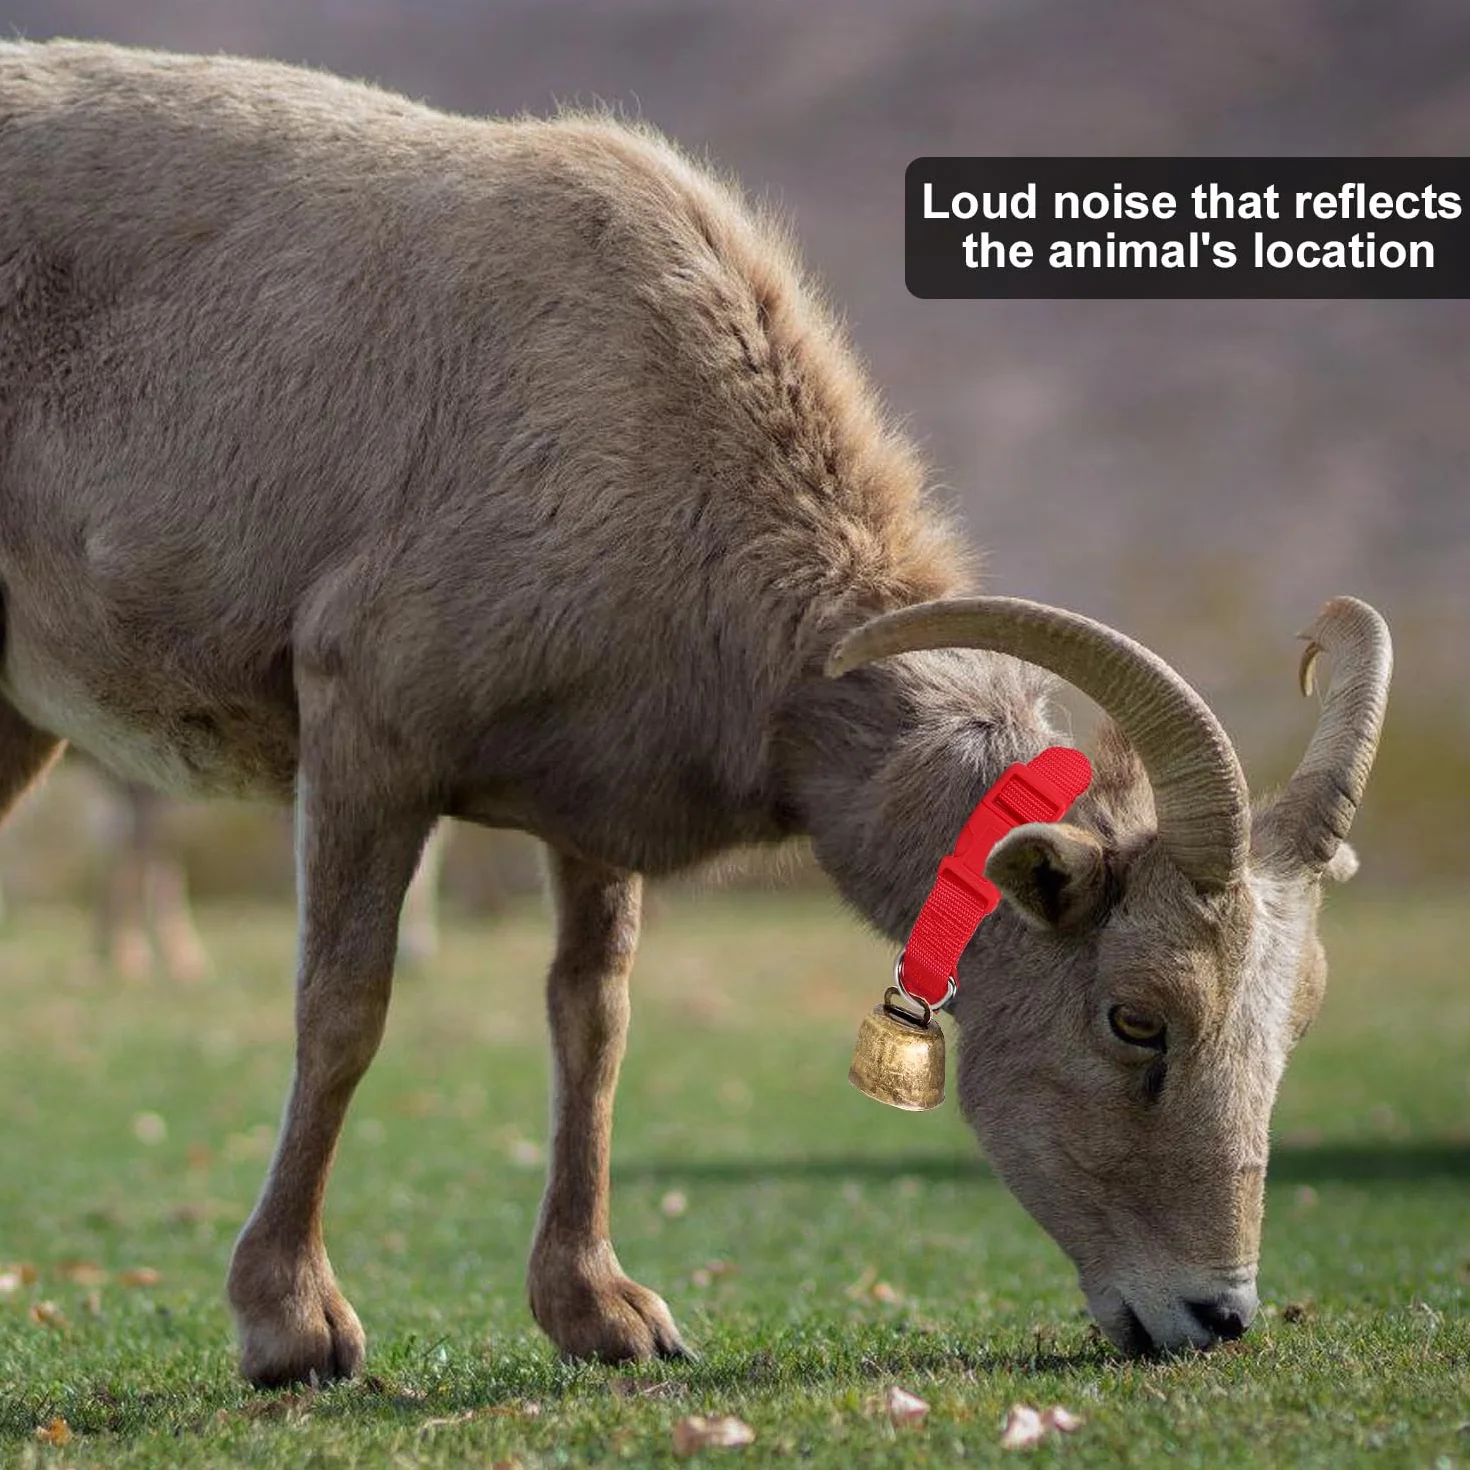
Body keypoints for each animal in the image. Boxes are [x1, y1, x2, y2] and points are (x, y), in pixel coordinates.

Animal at [0, 41, 1391, 1384]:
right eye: (1136, 1018)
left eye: (1297, 1022)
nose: (1214, 1314)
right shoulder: (366, 739)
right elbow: (344, 1009)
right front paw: (294, 1331)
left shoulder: (591, 824)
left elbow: (593, 1022)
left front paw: (606, 1318)